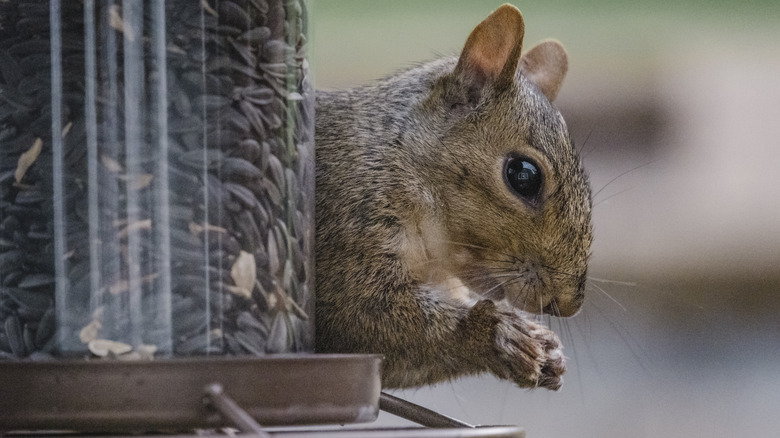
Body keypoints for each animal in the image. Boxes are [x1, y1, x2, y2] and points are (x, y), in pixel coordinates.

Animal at [310, 3, 592, 390]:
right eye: (523, 176)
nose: (567, 305)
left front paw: (547, 349)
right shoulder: (347, 227)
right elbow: (362, 316)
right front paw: (498, 335)